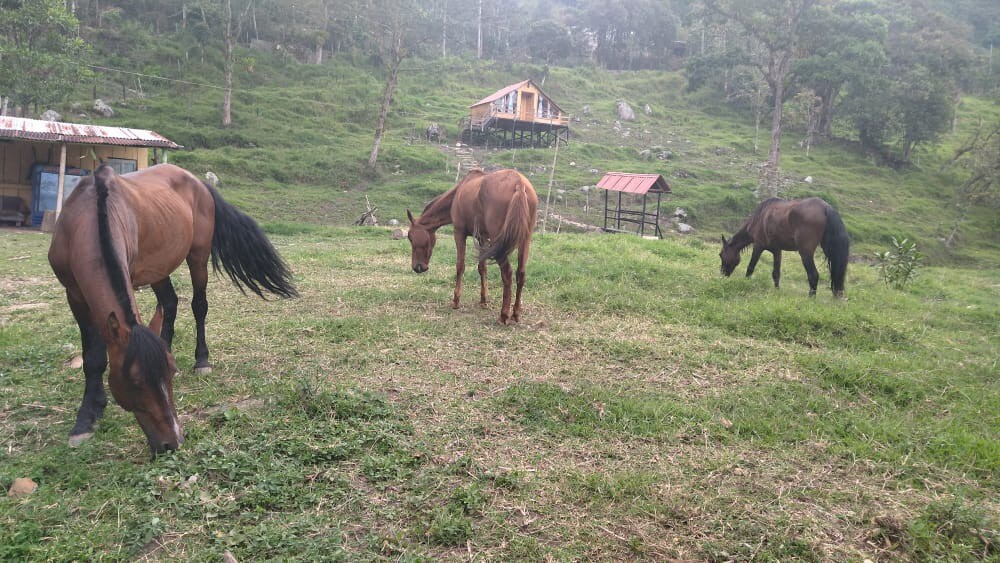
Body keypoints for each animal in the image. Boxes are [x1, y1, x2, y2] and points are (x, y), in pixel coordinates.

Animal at [47, 161, 296, 456]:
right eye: (135, 382)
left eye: (171, 375)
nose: (172, 442)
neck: (87, 221)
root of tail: (198, 182)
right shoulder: (74, 294)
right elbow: (93, 357)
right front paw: (88, 416)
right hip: (158, 268)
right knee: (170, 303)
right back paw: (166, 342)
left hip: (197, 256)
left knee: (198, 306)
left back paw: (202, 360)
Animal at [404, 170, 540, 324]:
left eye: (410, 238)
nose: (417, 267)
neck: (458, 193)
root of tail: (519, 184)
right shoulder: (482, 238)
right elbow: (482, 268)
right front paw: (483, 300)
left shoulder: (459, 233)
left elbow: (460, 266)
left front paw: (456, 300)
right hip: (525, 240)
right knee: (520, 273)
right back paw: (516, 313)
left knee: (507, 274)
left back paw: (504, 315)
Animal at [720, 196, 852, 298]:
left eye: (721, 255)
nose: (722, 274)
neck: (759, 217)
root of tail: (826, 207)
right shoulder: (777, 251)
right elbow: (776, 273)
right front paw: (777, 291)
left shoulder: (758, 246)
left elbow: (750, 268)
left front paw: (745, 284)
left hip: (805, 253)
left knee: (813, 275)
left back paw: (811, 298)